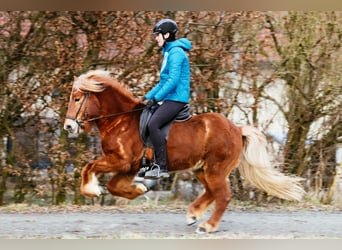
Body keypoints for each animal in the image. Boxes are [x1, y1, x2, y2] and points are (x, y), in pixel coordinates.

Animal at [63, 69, 304, 233]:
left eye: (77, 98)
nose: (68, 126)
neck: (120, 120)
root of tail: (237, 128)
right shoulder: (129, 167)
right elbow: (114, 186)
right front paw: (139, 189)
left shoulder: (121, 161)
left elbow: (89, 167)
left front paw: (91, 190)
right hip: (202, 169)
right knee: (211, 192)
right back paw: (193, 215)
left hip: (215, 169)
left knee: (223, 195)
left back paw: (208, 226)